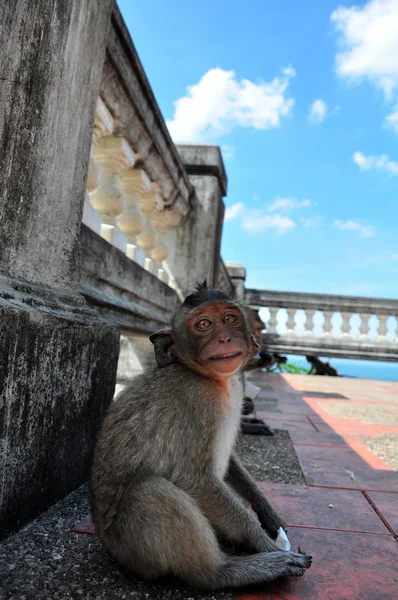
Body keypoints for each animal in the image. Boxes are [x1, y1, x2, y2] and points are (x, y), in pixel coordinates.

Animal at [90, 284, 310, 588]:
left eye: (229, 318)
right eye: (204, 325)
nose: (224, 338)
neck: (212, 378)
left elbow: (229, 464)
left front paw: (267, 512)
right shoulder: (198, 401)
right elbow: (194, 479)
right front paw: (265, 543)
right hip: (131, 549)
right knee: (150, 491)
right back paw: (227, 571)